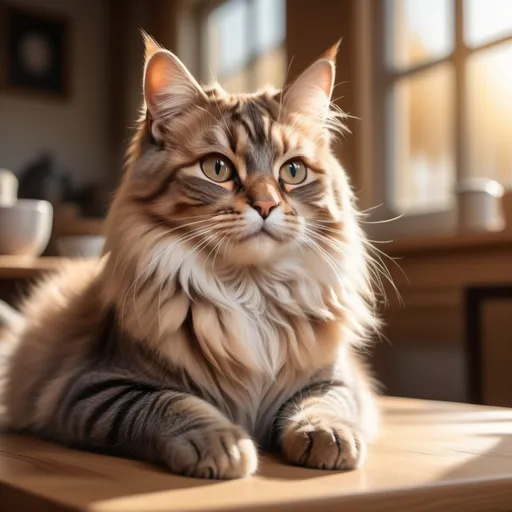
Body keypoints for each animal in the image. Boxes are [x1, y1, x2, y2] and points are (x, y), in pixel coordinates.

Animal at [0, 36, 380, 480]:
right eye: (217, 168)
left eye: (293, 172)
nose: (266, 205)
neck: (251, 291)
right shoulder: (95, 386)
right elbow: (169, 404)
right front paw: (222, 444)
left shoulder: (336, 379)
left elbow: (322, 403)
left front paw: (327, 435)